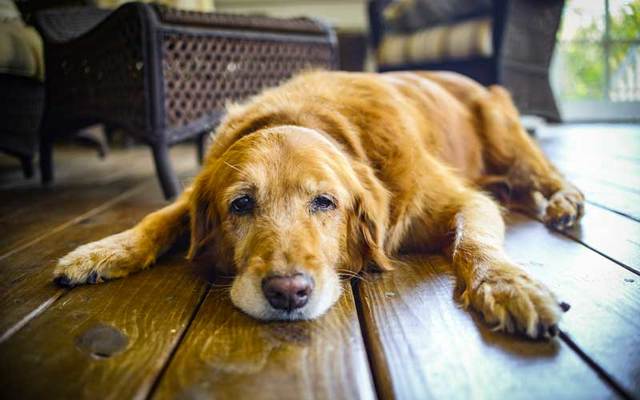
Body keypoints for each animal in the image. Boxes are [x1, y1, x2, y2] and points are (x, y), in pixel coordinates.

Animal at [53, 71, 584, 338]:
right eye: (240, 205)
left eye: (325, 202)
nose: (288, 293)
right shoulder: (194, 192)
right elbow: (158, 217)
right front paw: (102, 251)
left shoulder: (463, 199)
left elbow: (473, 242)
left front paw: (507, 285)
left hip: (504, 131)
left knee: (543, 171)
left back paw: (564, 200)